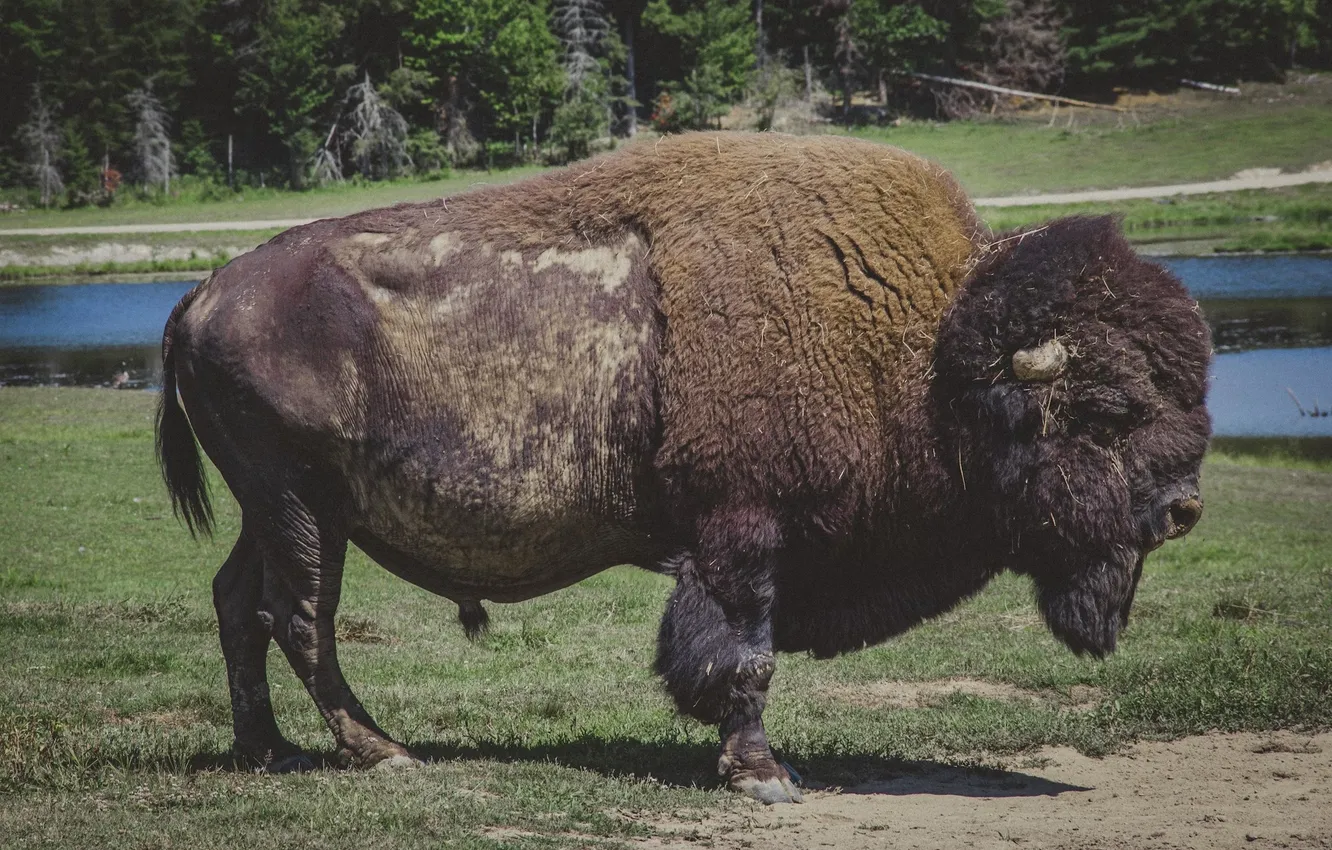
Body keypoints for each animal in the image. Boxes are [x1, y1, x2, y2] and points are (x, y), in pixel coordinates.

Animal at [158, 132, 1211, 804]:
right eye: (1114, 408)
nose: (1182, 509)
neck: (929, 351)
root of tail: (201, 295)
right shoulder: (742, 534)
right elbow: (744, 655)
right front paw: (765, 777)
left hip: (272, 509)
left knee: (237, 604)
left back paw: (272, 753)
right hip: (300, 502)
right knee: (300, 617)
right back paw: (381, 753)